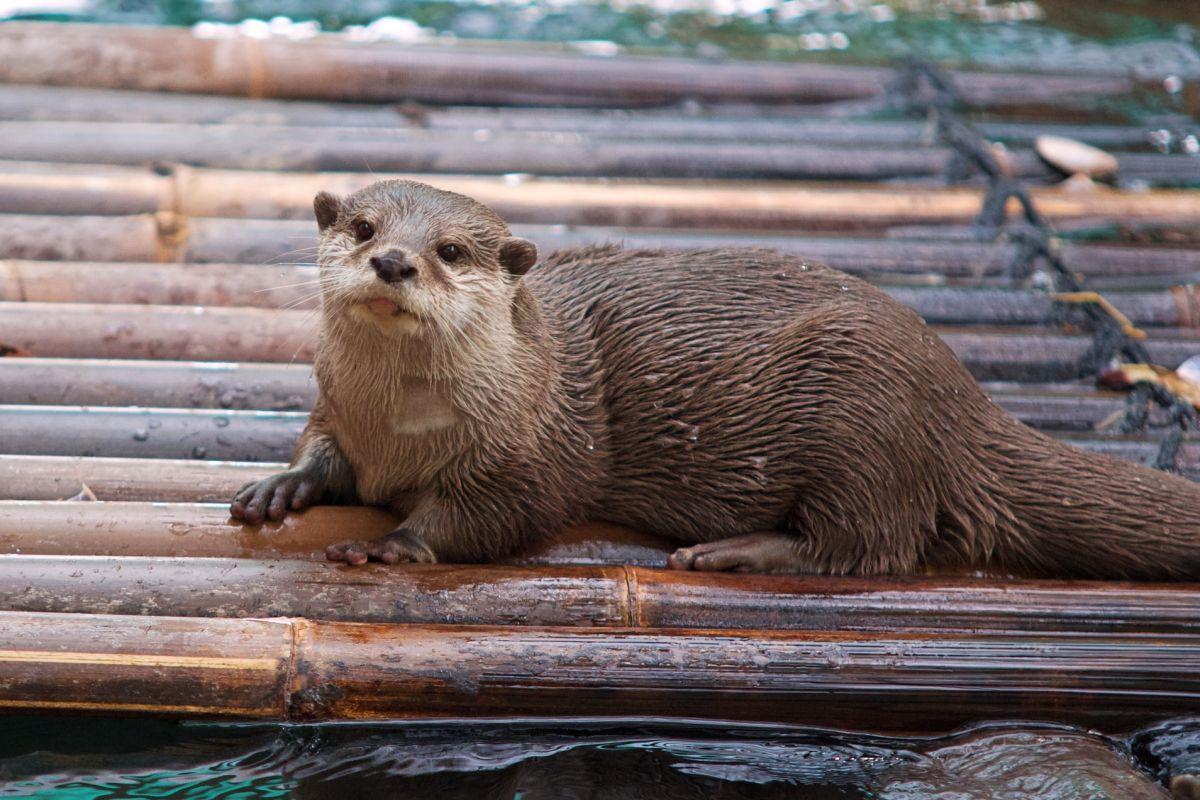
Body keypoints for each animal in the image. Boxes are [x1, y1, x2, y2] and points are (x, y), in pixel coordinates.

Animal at [231, 178, 1200, 578]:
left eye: (452, 251)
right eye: (362, 227)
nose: (394, 261)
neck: (401, 430)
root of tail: (961, 396)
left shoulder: (537, 451)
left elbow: (496, 517)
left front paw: (393, 543)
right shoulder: (336, 408)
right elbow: (321, 448)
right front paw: (282, 487)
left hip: (863, 406)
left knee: (872, 544)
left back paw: (735, 550)